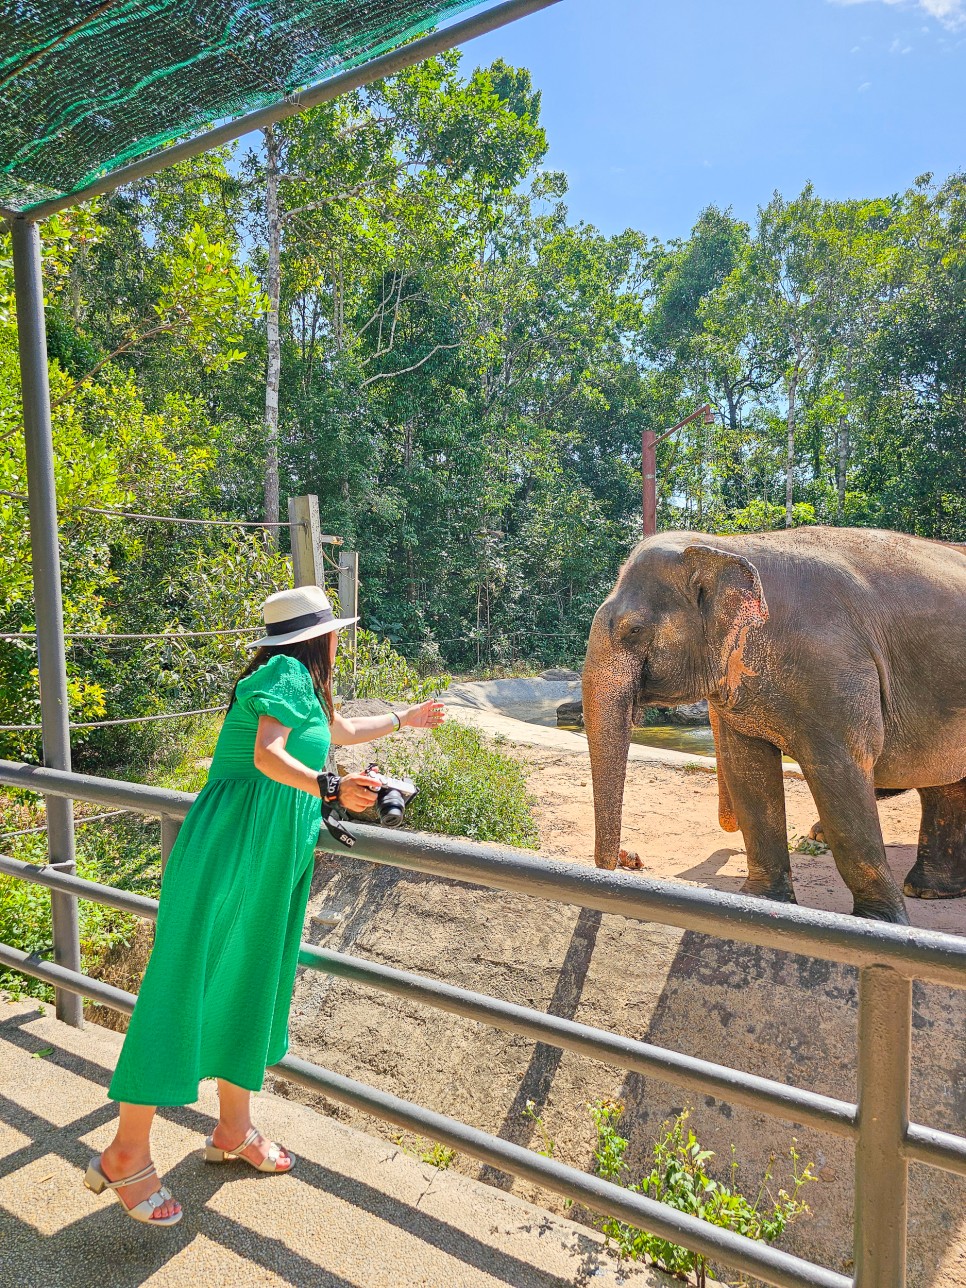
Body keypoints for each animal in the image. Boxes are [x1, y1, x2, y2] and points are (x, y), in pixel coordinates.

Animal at [587, 528, 966, 922]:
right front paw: (761, 903)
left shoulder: (832, 668)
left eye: (634, 630)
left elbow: (840, 771)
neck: (728, 545)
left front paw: (875, 922)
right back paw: (930, 890)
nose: (629, 860)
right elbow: (748, 771)